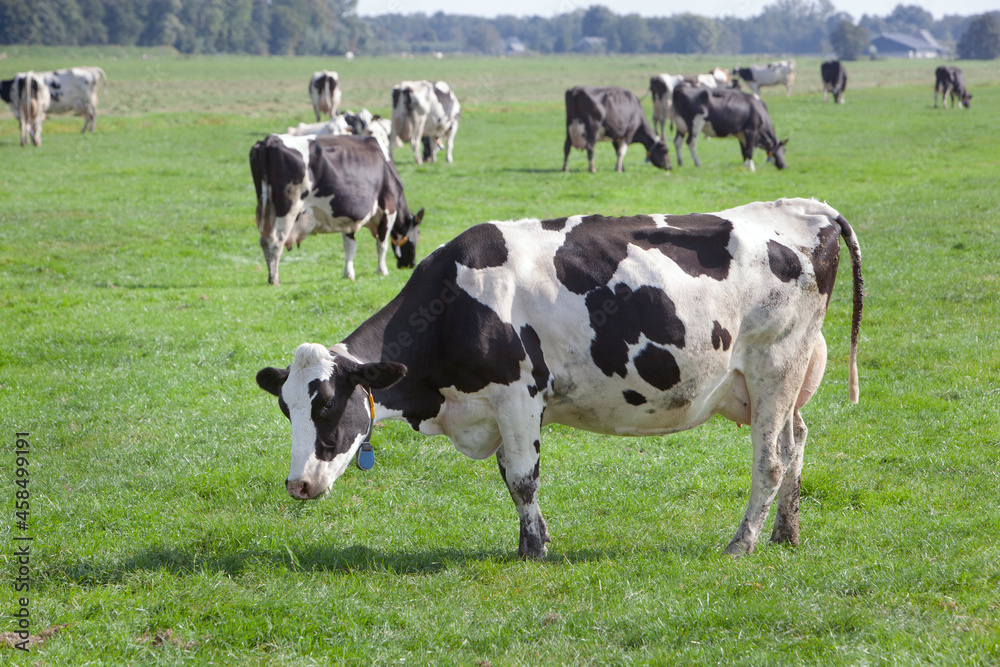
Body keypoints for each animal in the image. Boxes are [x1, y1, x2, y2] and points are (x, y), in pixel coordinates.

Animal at [250, 132, 426, 284]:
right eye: (417, 235)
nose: (411, 264)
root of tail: (270, 140)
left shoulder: (348, 218)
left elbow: (350, 246)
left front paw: (348, 274)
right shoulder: (388, 209)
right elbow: (381, 245)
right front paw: (382, 271)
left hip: (266, 208)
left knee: (264, 240)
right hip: (289, 208)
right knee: (275, 240)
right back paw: (274, 279)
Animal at [256, 197, 860, 560]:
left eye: (328, 405)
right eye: (288, 409)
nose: (298, 485)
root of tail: (807, 208)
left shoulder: (518, 394)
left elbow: (524, 478)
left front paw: (532, 550)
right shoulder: (497, 408)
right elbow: (510, 476)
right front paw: (534, 538)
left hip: (775, 367)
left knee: (771, 459)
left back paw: (743, 542)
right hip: (785, 383)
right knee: (796, 441)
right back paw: (786, 532)